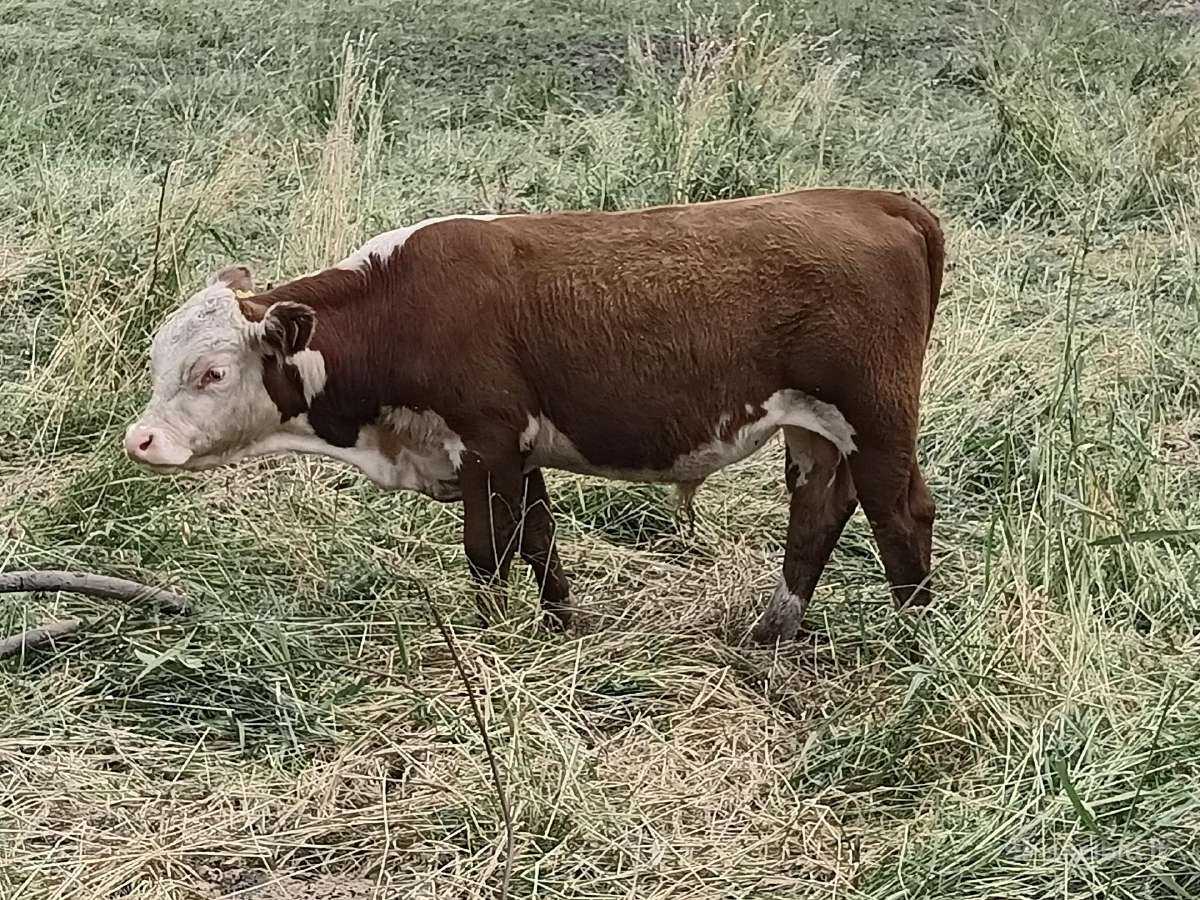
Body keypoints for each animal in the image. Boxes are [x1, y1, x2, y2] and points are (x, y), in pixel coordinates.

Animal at [123, 188, 944, 643]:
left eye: (211, 372)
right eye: (157, 359)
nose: (142, 440)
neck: (401, 310)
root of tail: (873, 200)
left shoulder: (485, 443)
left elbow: (490, 554)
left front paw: (490, 642)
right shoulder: (518, 451)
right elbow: (541, 541)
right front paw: (558, 627)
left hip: (876, 419)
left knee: (900, 515)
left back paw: (912, 646)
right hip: (815, 431)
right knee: (816, 516)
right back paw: (773, 632)